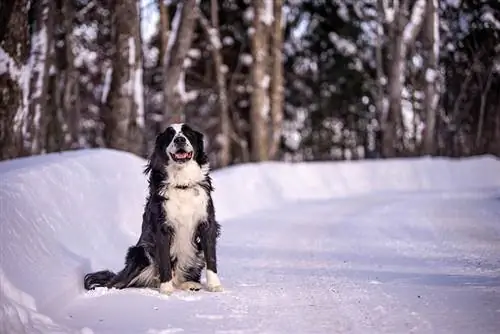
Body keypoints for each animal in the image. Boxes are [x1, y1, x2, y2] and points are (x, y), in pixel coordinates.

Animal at [83, 123, 223, 294]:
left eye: (188, 133)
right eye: (170, 135)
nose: (180, 139)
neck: (182, 184)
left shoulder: (206, 223)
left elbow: (211, 257)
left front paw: (215, 285)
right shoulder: (161, 228)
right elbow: (164, 260)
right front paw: (166, 289)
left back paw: (189, 284)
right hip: (139, 254)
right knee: (116, 282)